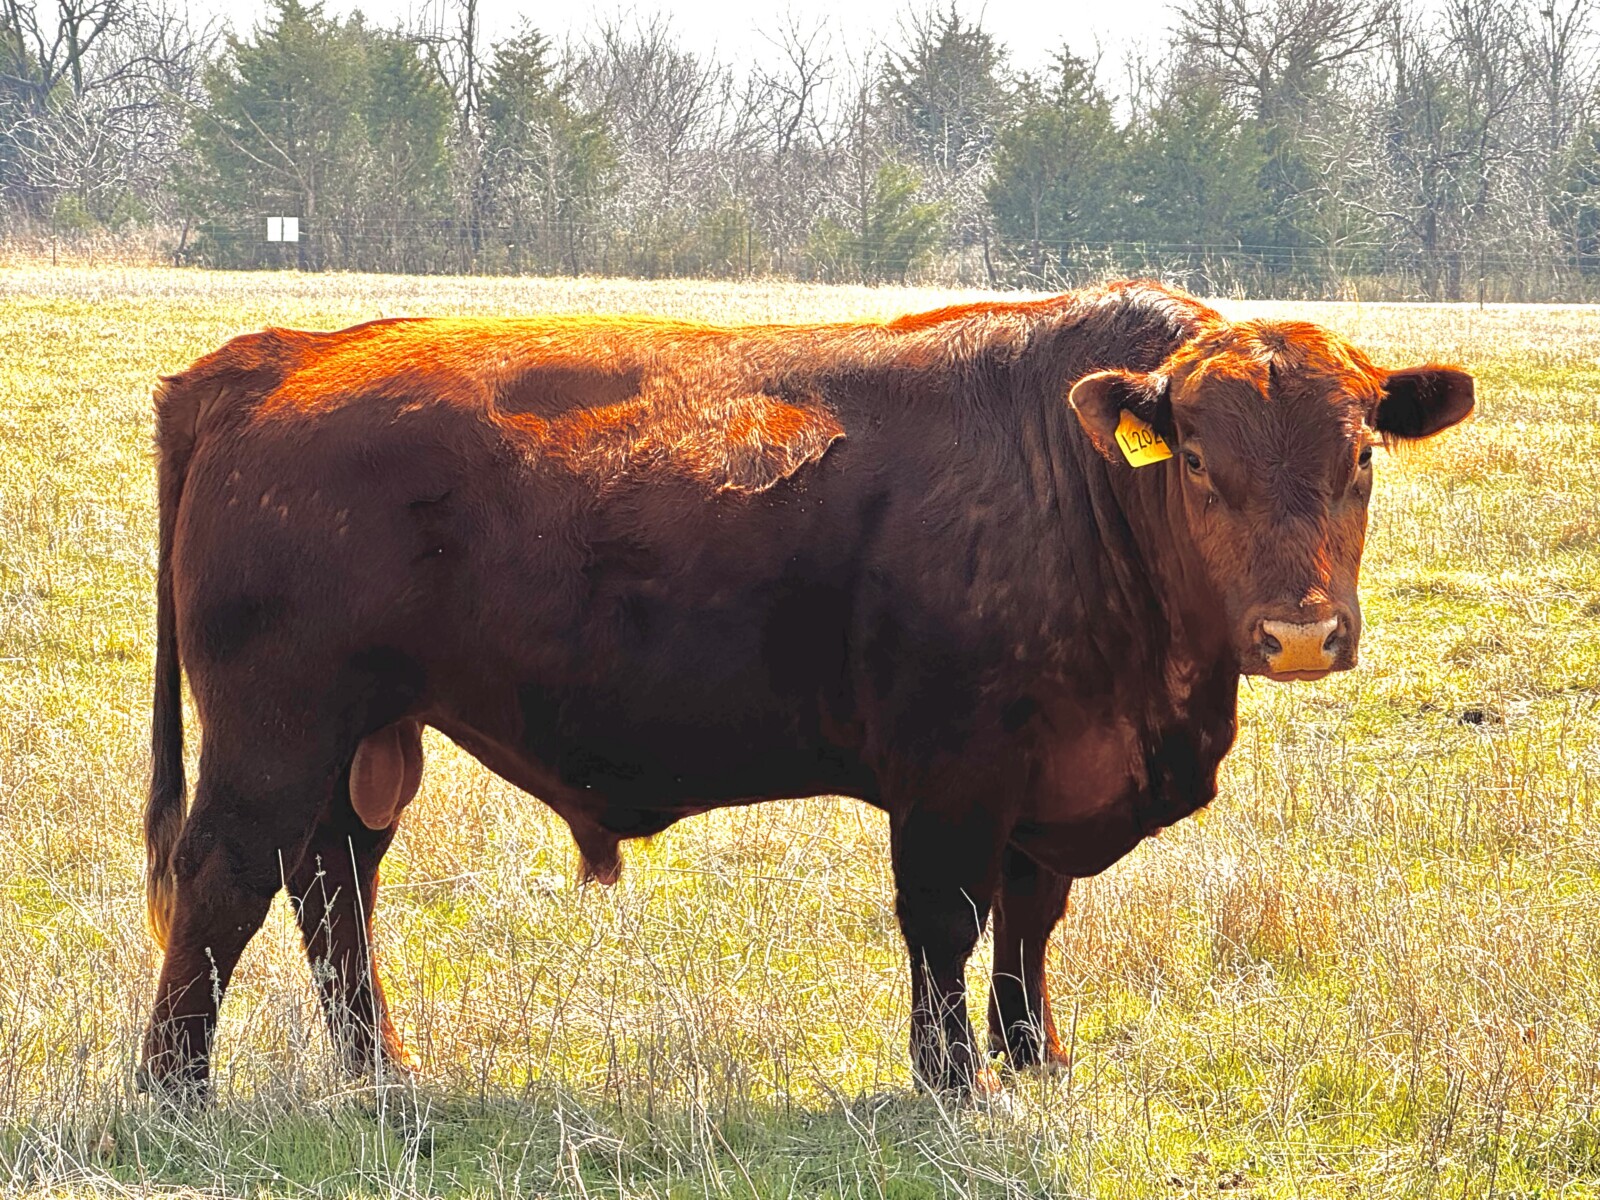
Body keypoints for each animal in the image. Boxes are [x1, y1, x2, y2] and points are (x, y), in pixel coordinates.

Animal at [138, 281, 1473, 1098]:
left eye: (1360, 453)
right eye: (1195, 457)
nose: (1297, 632)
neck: (1072, 479)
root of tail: (278, 359)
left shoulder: (1047, 780)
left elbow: (1029, 925)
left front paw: (1034, 1060)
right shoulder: (950, 780)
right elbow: (947, 924)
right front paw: (954, 1082)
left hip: (368, 738)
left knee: (333, 888)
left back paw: (385, 1071)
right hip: (274, 733)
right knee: (226, 880)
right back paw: (173, 1088)